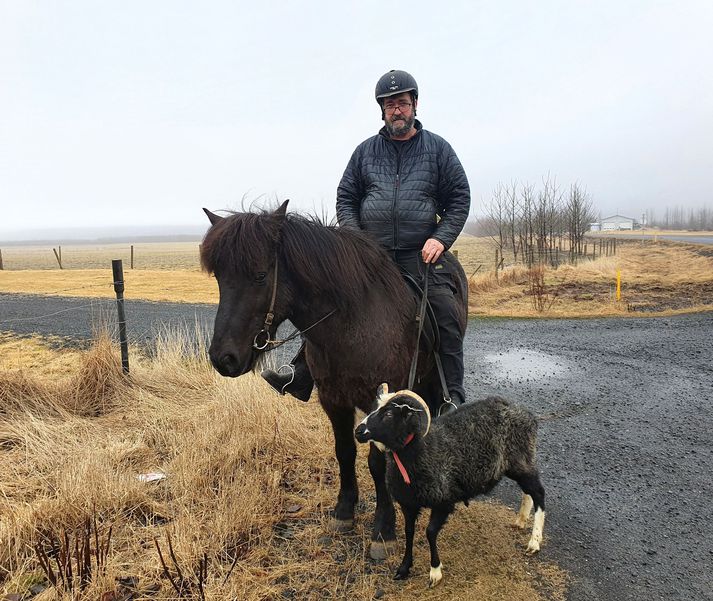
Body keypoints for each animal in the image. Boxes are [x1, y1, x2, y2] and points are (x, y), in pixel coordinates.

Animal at [200, 202, 468, 556]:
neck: (352, 322)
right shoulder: (333, 398)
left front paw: (383, 529)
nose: (224, 358)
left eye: (260, 276)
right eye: (219, 277)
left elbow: (377, 462)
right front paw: (344, 511)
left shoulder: (380, 403)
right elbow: (344, 452)